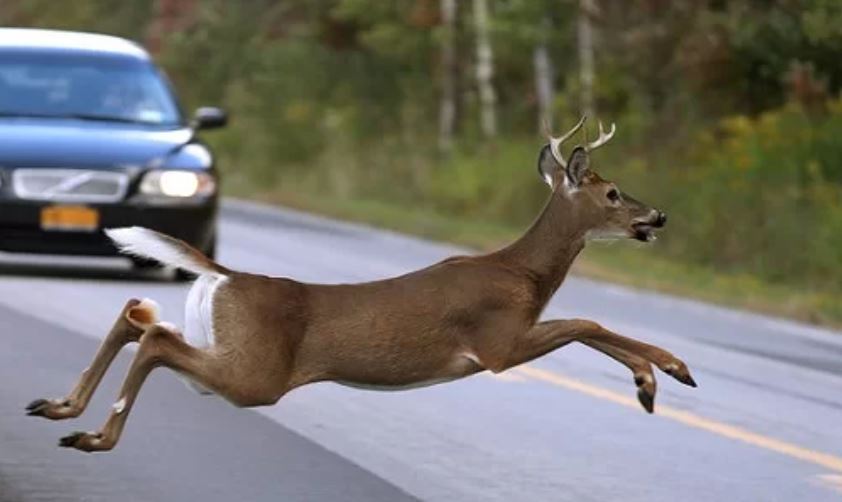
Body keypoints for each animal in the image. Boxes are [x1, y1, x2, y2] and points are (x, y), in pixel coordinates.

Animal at [26, 116, 696, 453]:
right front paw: (665, 372)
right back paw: (94, 435)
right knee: (156, 339)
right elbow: (587, 321)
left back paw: (61, 408)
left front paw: (654, 379)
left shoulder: (508, 340)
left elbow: (588, 324)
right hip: (257, 374)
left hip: (228, 349)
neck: (523, 274)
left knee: (139, 315)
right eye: (613, 194)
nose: (659, 217)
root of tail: (228, 275)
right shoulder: (497, 343)